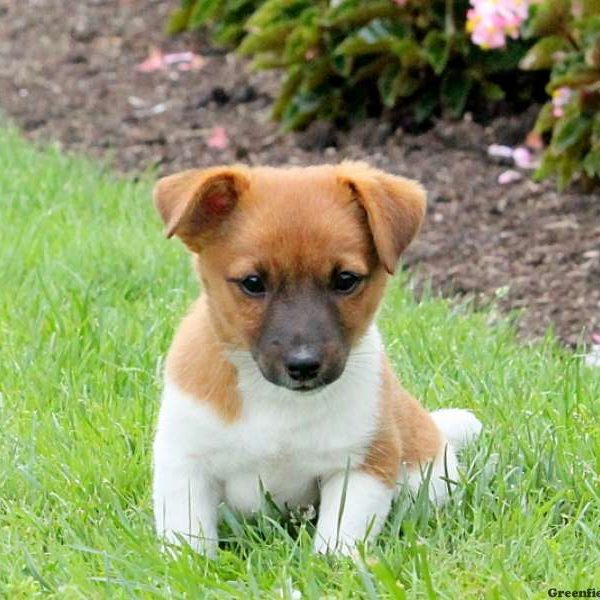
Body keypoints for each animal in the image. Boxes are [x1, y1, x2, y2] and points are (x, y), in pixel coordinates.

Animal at [151, 162, 482, 556]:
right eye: (252, 283)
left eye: (345, 280)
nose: (304, 365)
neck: (276, 402)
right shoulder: (184, 462)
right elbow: (188, 539)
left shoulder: (362, 465)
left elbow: (339, 539)